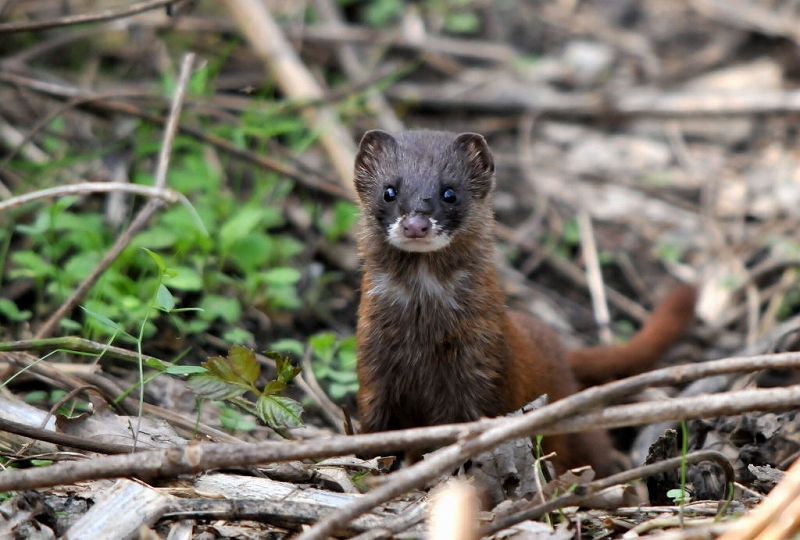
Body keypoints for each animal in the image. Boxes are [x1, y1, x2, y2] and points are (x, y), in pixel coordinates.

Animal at [354, 131, 696, 476]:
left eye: (450, 192)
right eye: (389, 191)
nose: (415, 225)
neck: (421, 336)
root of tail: (561, 351)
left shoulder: (481, 366)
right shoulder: (373, 364)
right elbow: (376, 428)